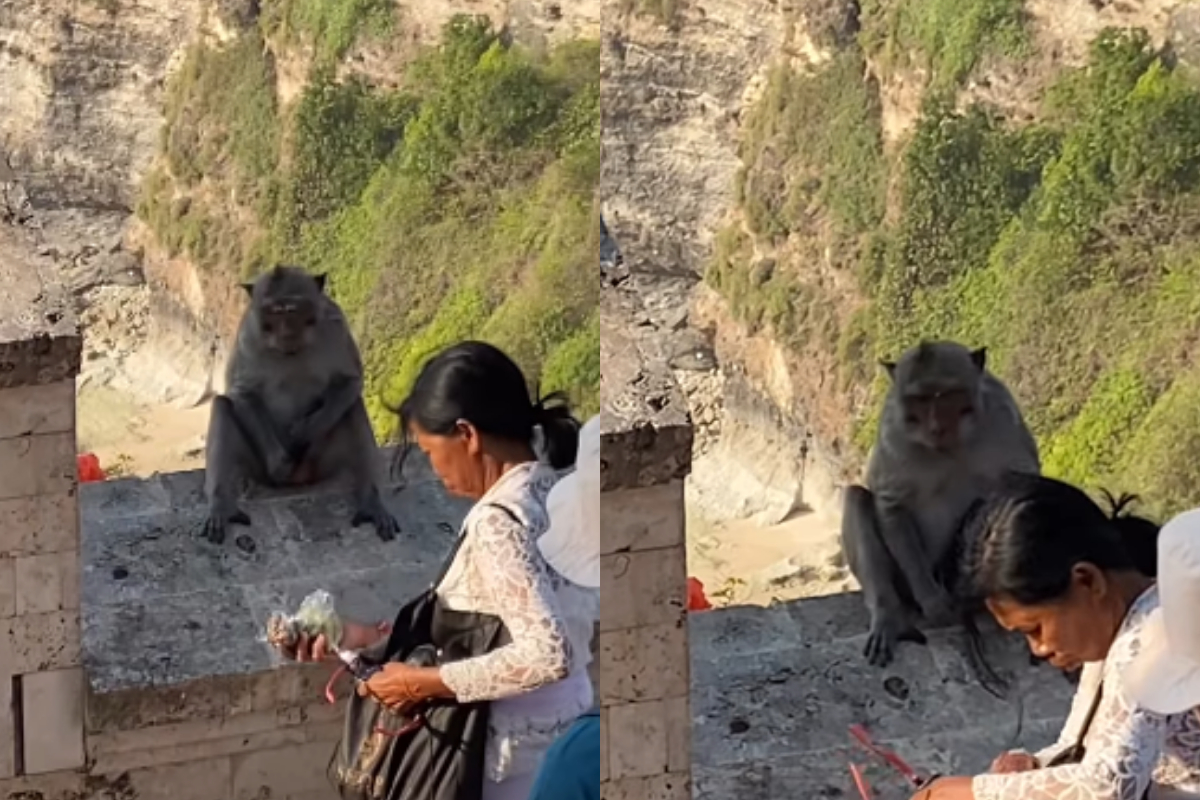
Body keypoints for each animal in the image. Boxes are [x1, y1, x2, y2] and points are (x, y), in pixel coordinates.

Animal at [202, 265, 400, 545]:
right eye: (274, 311)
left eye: (291, 309)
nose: (285, 329)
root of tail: (299, 479)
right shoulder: (248, 333)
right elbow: (242, 390)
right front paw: (280, 462)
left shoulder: (336, 324)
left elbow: (350, 381)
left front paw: (303, 433)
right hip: (257, 467)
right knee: (221, 405)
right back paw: (222, 506)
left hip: (320, 463)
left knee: (353, 408)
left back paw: (372, 503)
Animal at [840, 341, 1040, 671]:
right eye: (919, 401)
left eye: (946, 396)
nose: (935, 427)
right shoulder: (893, 428)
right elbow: (891, 503)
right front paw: (932, 602)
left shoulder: (1003, 410)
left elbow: (1023, 483)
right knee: (856, 498)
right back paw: (888, 617)